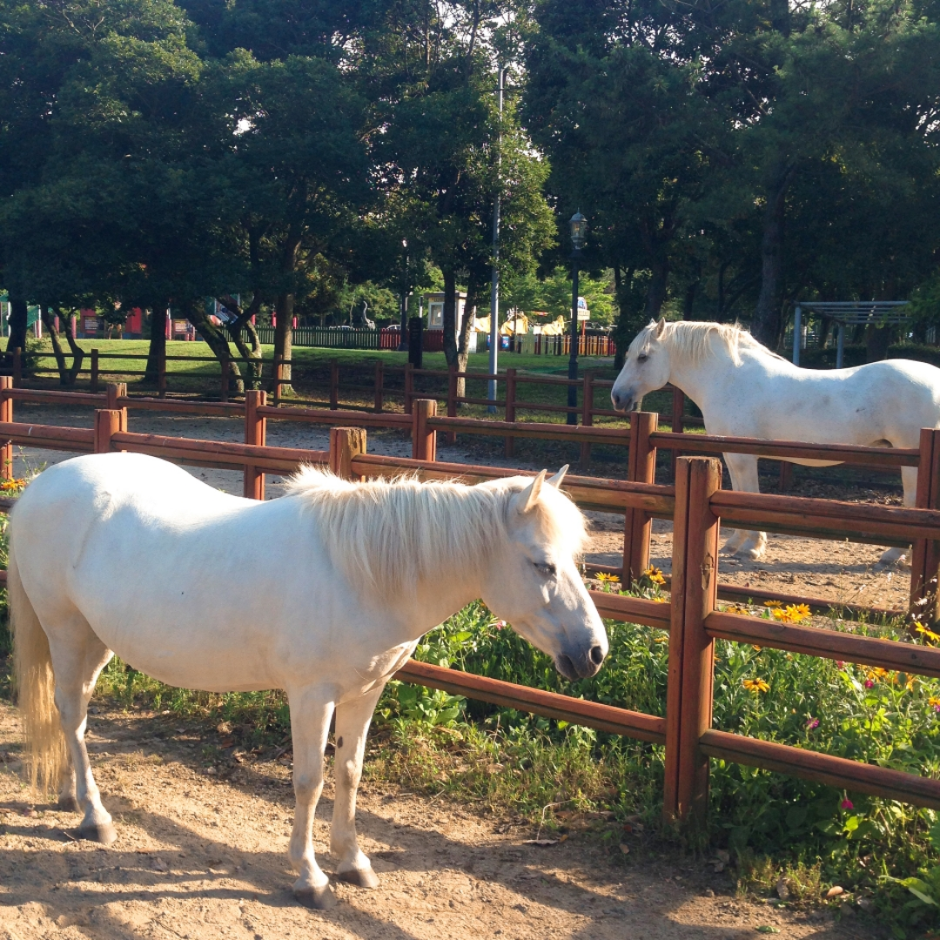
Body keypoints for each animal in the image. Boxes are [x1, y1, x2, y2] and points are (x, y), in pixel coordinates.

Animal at [11, 452, 604, 908]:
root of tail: (41, 485)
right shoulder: (311, 696)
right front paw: (310, 875)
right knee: (72, 714)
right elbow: (309, 782)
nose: (594, 652)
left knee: (71, 712)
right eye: (542, 564)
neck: (359, 573)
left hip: (96, 641)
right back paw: (94, 815)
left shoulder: (365, 692)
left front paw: (353, 860)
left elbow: (350, 772)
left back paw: (69, 793)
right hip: (66, 630)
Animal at [608, 320, 940, 560]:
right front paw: (735, 544)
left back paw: (894, 555)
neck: (729, 380)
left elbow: (749, 495)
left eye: (643, 357)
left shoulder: (744, 457)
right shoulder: (732, 455)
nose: (617, 397)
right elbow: (736, 495)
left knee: (912, 502)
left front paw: (751, 548)